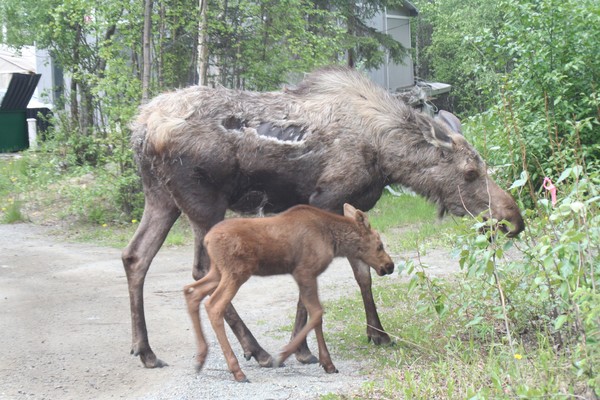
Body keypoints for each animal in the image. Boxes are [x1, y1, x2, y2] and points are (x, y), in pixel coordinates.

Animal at [185, 205, 396, 382]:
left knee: (192, 292)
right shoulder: (304, 271)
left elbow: (314, 315)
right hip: (236, 272)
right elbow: (317, 313)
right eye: (380, 245)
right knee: (213, 305)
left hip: (217, 271)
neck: (334, 242)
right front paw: (285, 355)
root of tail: (207, 239)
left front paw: (326, 363)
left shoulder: (306, 275)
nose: (390, 265)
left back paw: (200, 359)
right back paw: (237, 371)